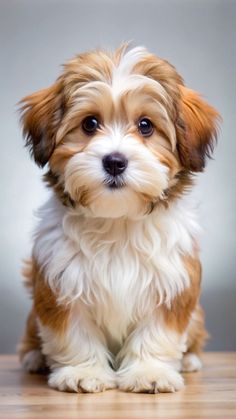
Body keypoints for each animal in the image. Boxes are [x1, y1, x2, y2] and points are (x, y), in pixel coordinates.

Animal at [18, 45, 219, 394]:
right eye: (90, 123)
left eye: (145, 125)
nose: (114, 161)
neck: (117, 220)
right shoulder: (60, 284)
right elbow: (74, 333)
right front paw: (83, 372)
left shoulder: (171, 285)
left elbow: (157, 332)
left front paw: (150, 372)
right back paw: (34, 358)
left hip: (196, 315)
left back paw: (190, 360)